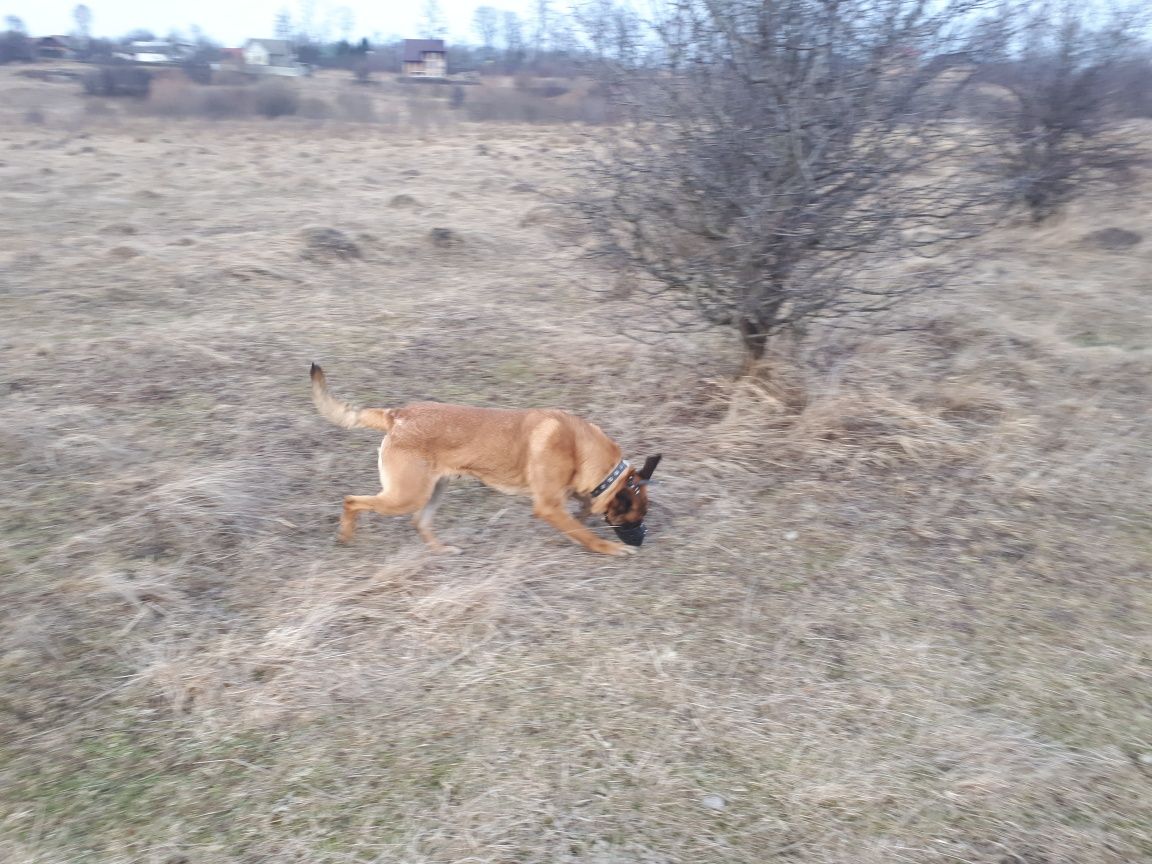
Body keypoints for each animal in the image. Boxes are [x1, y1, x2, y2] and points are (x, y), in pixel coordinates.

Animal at [311, 364, 663, 555]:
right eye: (636, 518)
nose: (644, 539)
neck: (580, 446)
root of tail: (396, 415)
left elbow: (581, 514)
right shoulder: (548, 506)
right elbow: (587, 535)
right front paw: (611, 548)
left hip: (433, 490)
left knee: (418, 522)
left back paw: (441, 550)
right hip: (406, 495)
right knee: (351, 500)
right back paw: (345, 536)